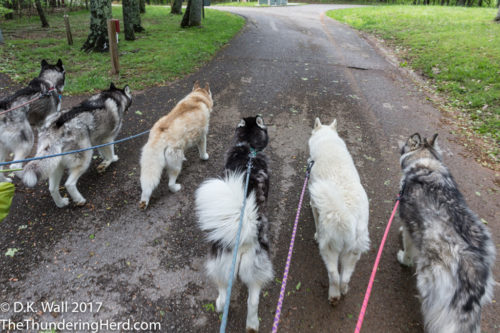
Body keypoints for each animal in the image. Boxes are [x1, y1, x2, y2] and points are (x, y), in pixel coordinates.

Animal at [139, 80, 213, 208]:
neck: (198, 98)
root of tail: (160, 134)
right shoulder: (202, 137)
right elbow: (203, 150)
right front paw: (204, 157)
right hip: (175, 165)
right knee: (170, 184)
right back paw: (176, 188)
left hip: (149, 162)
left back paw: (144, 200)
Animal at [195, 115, 274, 330]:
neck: (249, 149)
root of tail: (243, 239)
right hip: (253, 269)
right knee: (251, 300)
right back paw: (252, 323)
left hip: (224, 267)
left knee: (228, 295)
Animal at [306, 118, 370, 304]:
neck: (327, 140)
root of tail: (346, 215)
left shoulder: (314, 203)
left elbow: (315, 221)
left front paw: (315, 234)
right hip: (353, 252)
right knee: (345, 277)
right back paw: (344, 290)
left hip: (329, 250)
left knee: (334, 276)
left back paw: (333, 296)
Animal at [396, 133, 494, 332]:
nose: (399, 142)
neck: (426, 163)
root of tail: (474, 269)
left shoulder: (410, 227)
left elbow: (408, 248)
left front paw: (403, 258)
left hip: (429, 281)